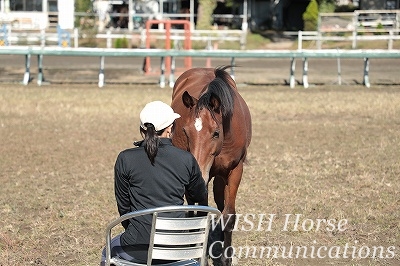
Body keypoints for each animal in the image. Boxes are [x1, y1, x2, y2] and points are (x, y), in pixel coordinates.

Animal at [170, 65, 252, 264]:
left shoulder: (235, 170)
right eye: (186, 131)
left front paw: (226, 257)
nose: (199, 171)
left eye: (215, 133)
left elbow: (228, 215)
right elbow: (202, 213)